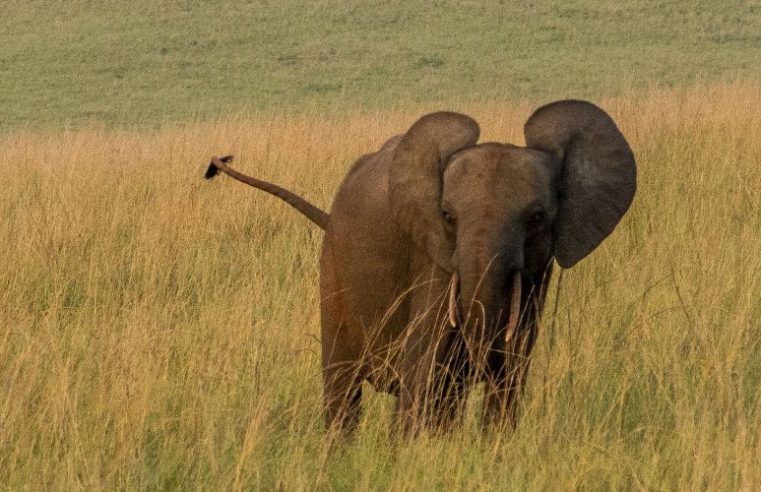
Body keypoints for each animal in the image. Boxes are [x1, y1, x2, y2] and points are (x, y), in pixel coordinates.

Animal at [205, 100, 636, 436]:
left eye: (536, 218)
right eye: (447, 216)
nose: (479, 364)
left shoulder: (535, 276)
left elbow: (511, 375)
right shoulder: (434, 262)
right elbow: (423, 369)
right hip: (333, 269)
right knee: (343, 386)